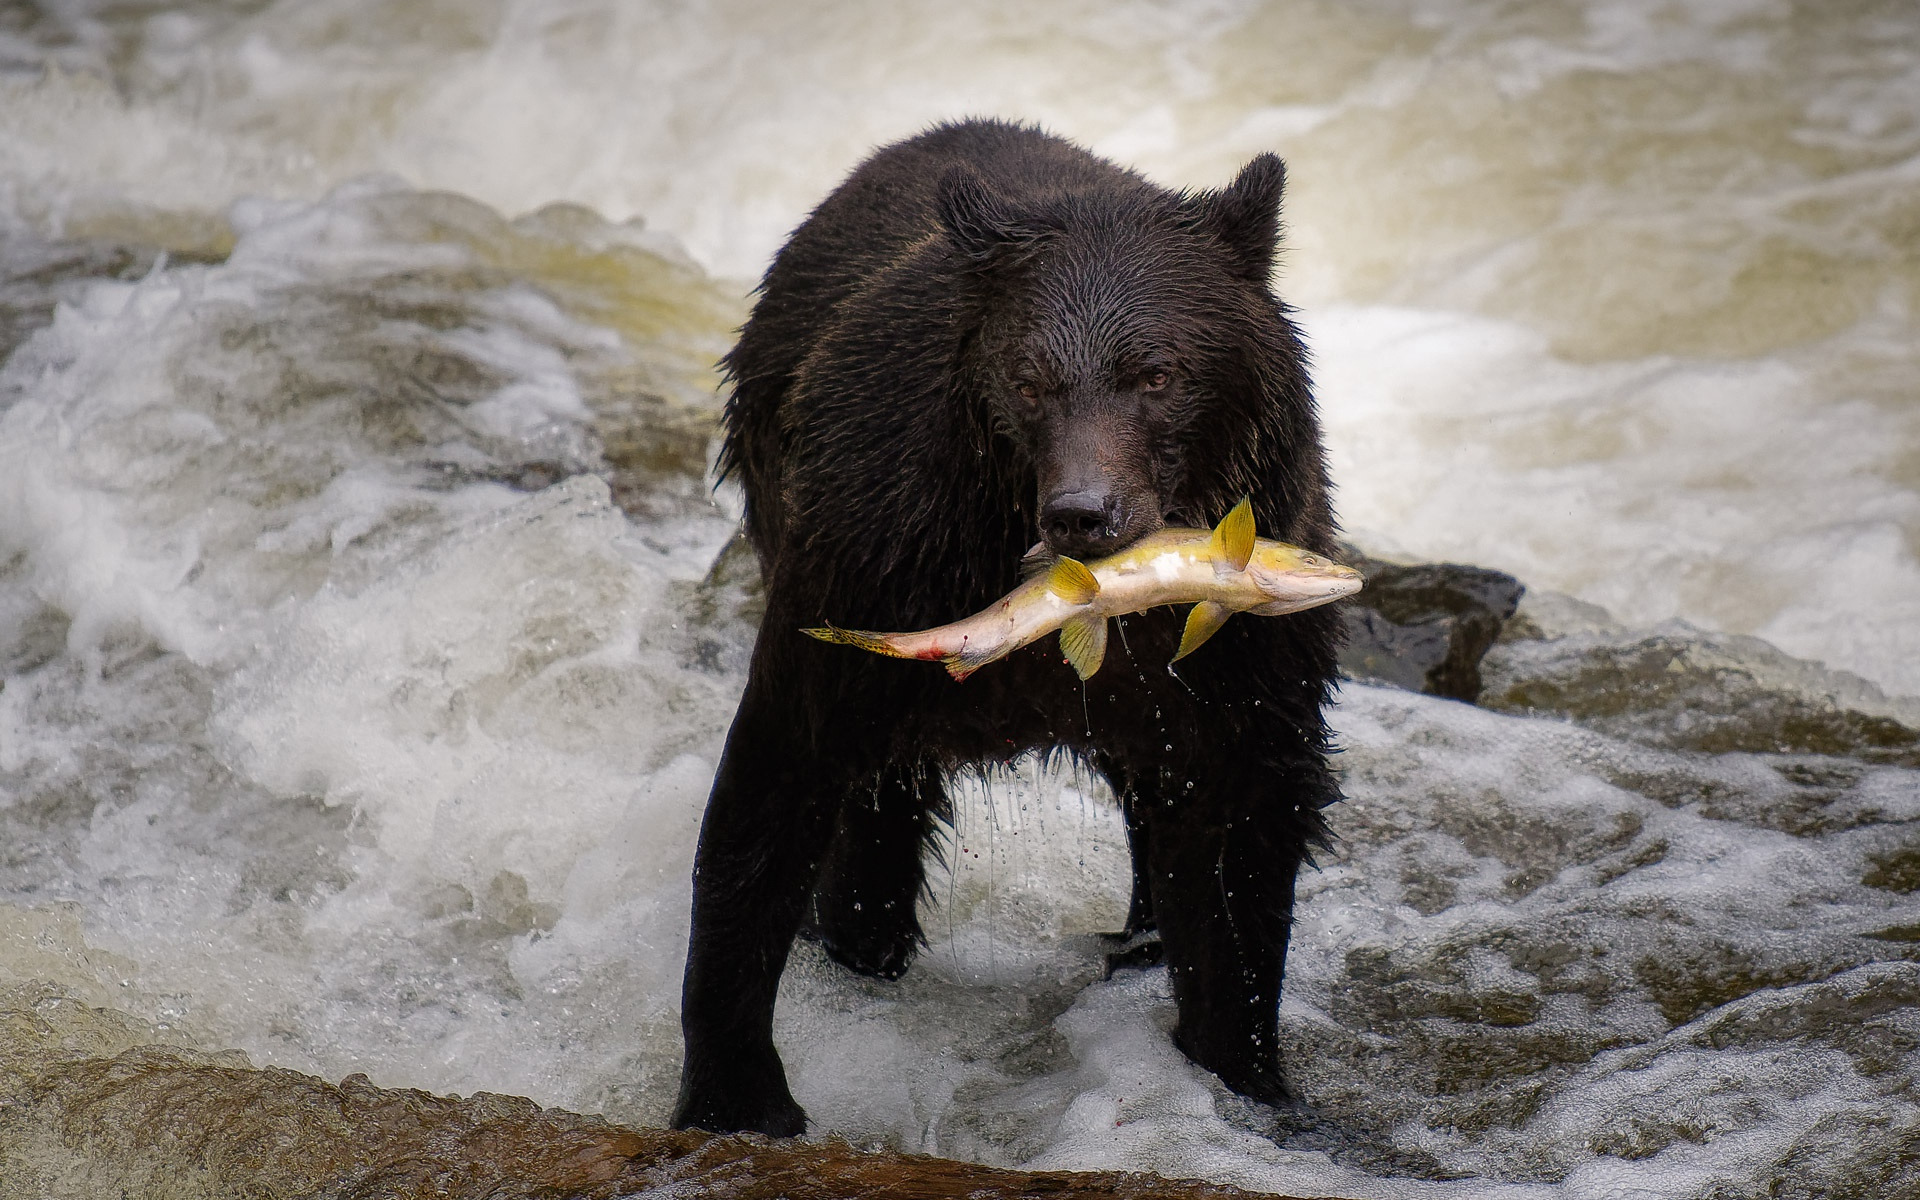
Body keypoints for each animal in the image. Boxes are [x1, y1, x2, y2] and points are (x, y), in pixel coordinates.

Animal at [683, 119, 1344, 1128]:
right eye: (1030, 380)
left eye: (1156, 373)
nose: (1082, 513)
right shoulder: (878, 553)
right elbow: (780, 775)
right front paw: (737, 1096)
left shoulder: (1242, 649)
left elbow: (1241, 823)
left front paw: (1244, 1071)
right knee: (878, 801)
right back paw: (864, 940)